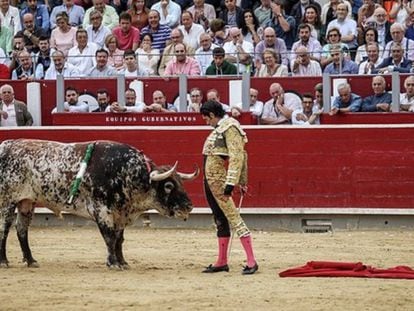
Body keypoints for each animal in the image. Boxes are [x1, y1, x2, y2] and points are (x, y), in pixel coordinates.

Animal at [0, 140, 198, 270]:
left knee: (21, 229)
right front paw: (113, 263)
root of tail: (5, 146)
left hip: (26, 202)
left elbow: (119, 239)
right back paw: (4, 261)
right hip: (7, 201)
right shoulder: (102, 210)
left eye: (181, 182)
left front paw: (123, 262)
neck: (126, 172)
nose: (189, 206)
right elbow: (109, 237)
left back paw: (31, 260)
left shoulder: (121, 213)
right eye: (168, 186)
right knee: (4, 228)